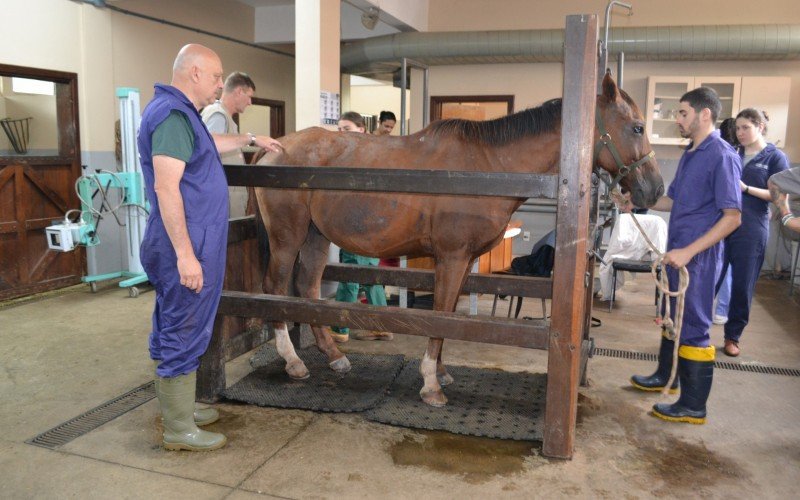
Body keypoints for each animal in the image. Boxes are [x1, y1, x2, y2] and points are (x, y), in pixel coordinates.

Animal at [252, 76, 664, 408]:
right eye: (637, 127)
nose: (655, 189)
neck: (487, 169)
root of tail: (274, 148)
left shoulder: (464, 261)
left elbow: (450, 317)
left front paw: (440, 371)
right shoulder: (450, 258)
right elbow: (439, 317)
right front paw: (431, 384)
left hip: (316, 237)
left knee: (307, 287)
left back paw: (334, 356)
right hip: (288, 237)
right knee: (276, 287)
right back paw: (294, 362)